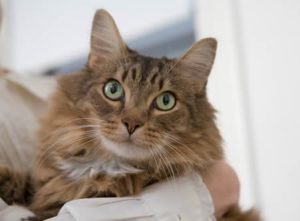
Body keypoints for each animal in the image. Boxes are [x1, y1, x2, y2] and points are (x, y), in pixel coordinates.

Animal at [0, 9, 258, 221]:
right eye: (113, 90)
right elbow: (34, 187)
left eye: (165, 101)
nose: (131, 123)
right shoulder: (48, 186)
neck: (109, 169)